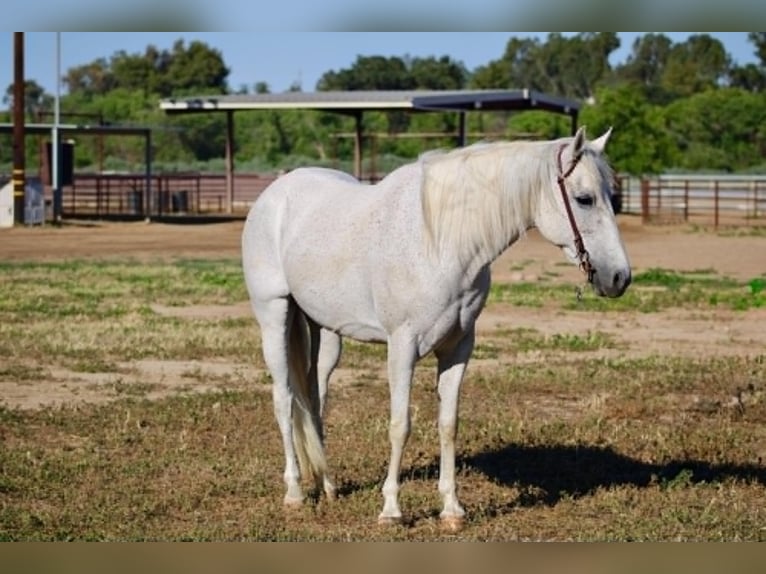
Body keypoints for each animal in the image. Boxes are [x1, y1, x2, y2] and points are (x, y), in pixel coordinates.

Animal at [241, 126, 631, 530]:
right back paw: (295, 493)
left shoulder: (458, 347)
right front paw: (391, 510)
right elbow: (400, 424)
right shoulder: (402, 346)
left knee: (314, 398)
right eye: (584, 199)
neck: (441, 241)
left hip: (325, 332)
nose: (620, 277)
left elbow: (448, 423)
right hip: (274, 316)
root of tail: (275, 192)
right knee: (284, 399)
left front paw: (452, 509)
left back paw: (327, 485)